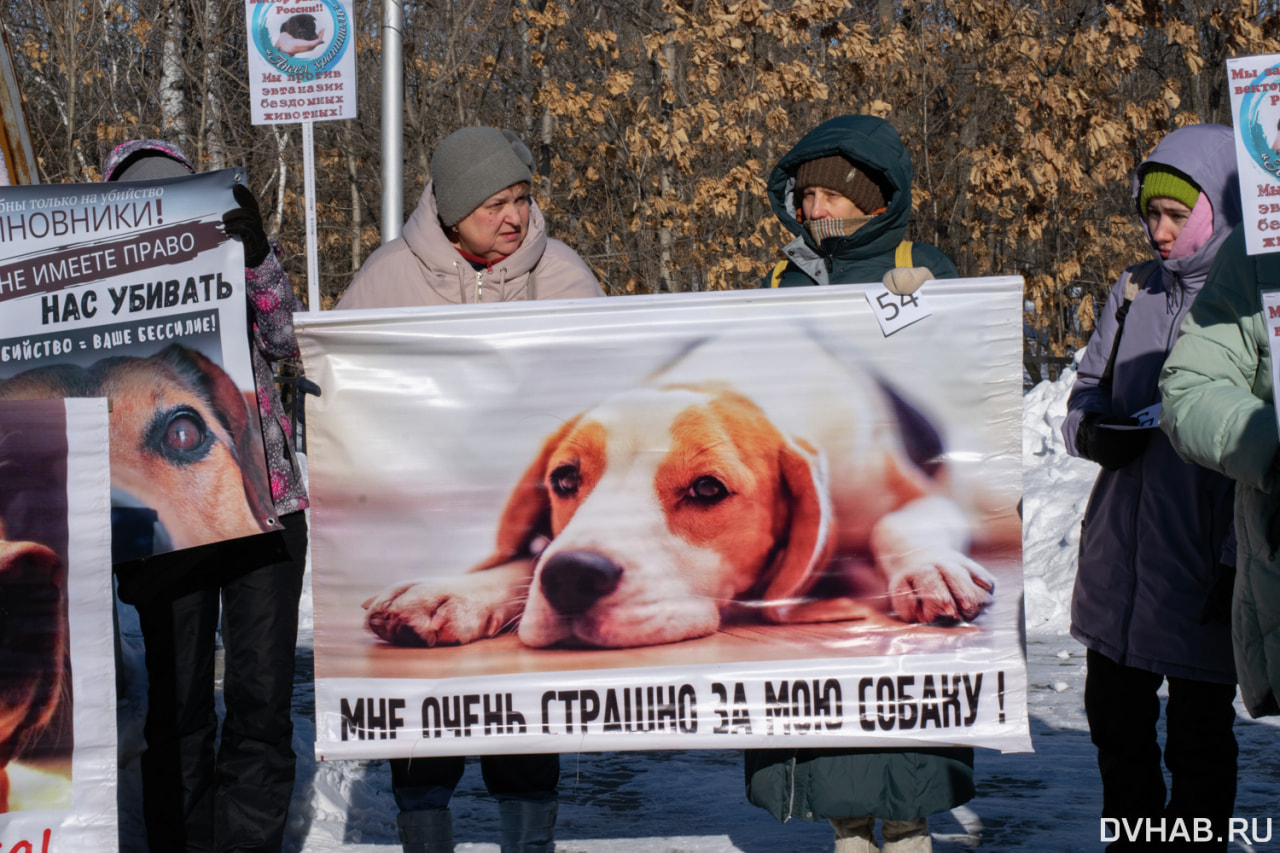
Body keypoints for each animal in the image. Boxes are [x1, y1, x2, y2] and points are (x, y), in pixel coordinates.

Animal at [363, 327, 1018, 648]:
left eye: (707, 490)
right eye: (565, 478)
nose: (573, 577)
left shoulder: (917, 497)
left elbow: (898, 523)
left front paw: (931, 570)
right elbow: (528, 559)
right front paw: (452, 591)